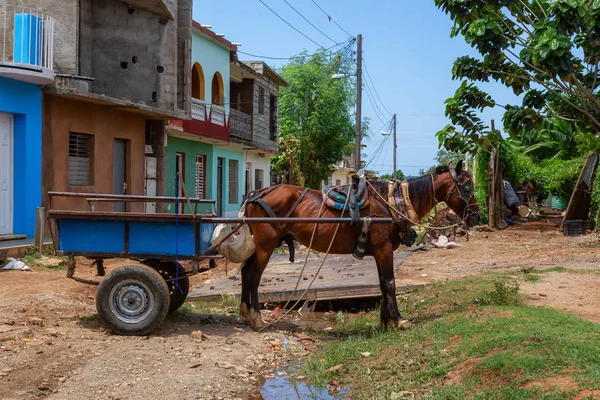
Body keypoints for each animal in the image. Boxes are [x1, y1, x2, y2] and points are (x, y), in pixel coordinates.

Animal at [237, 161, 480, 330]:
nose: (476, 217)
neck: (393, 202)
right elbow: (390, 282)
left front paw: (385, 321)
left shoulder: (381, 251)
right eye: (467, 187)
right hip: (266, 245)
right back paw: (256, 318)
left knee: (246, 272)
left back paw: (246, 314)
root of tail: (257, 192)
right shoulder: (383, 249)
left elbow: (382, 283)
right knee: (253, 276)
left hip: (262, 246)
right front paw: (398, 320)